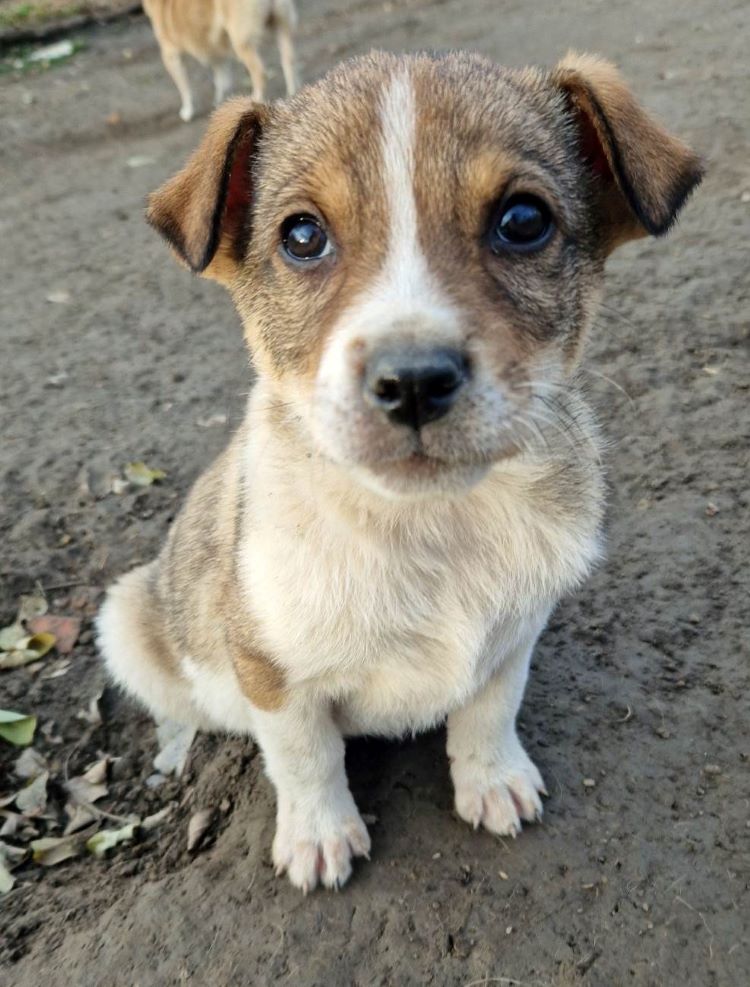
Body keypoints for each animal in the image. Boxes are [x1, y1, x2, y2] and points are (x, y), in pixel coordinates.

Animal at [97, 48, 704, 896]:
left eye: (524, 221)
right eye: (303, 235)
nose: (412, 380)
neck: (430, 528)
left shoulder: (515, 634)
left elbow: (488, 710)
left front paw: (492, 778)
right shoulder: (272, 671)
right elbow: (305, 755)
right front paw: (319, 832)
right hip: (125, 616)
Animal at [142, 0, 298, 121]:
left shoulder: (171, 55)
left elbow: (184, 88)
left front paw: (188, 110)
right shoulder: (216, 52)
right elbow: (222, 80)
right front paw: (221, 102)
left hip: (241, 42)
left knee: (259, 73)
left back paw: (255, 101)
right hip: (281, 28)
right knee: (289, 61)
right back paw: (292, 95)